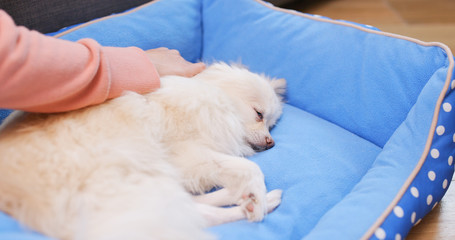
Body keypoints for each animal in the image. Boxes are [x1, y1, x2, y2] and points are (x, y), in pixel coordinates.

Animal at [0, 62, 286, 240]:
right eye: (259, 114)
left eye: (271, 125)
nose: (271, 142)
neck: (215, 97)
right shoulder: (188, 155)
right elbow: (250, 167)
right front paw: (255, 192)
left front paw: (251, 192)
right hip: (130, 178)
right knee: (199, 216)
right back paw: (257, 204)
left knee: (192, 208)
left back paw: (249, 198)